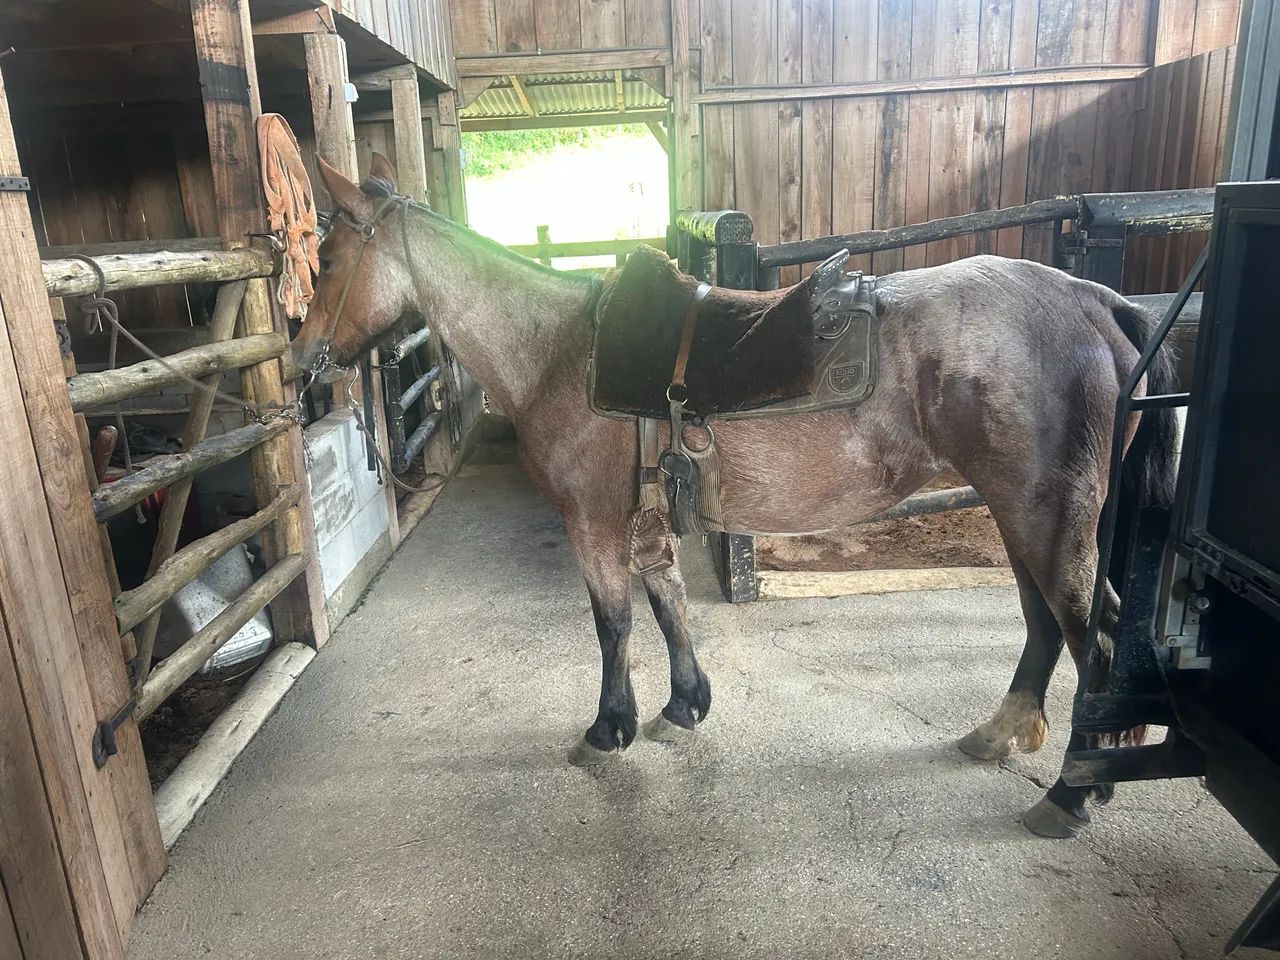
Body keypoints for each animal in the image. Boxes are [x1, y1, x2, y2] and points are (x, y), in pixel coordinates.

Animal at [291, 153, 1178, 839]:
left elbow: (614, 621)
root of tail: (1098, 302)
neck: (558, 353)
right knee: (1043, 624)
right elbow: (667, 603)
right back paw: (1000, 735)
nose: (304, 360)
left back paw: (1071, 793)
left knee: (1090, 642)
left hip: (1046, 514)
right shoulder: (644, 521)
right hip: (1017, 510)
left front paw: (608, 727)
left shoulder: (591, 521)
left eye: (326, 259)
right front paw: (685, 706)